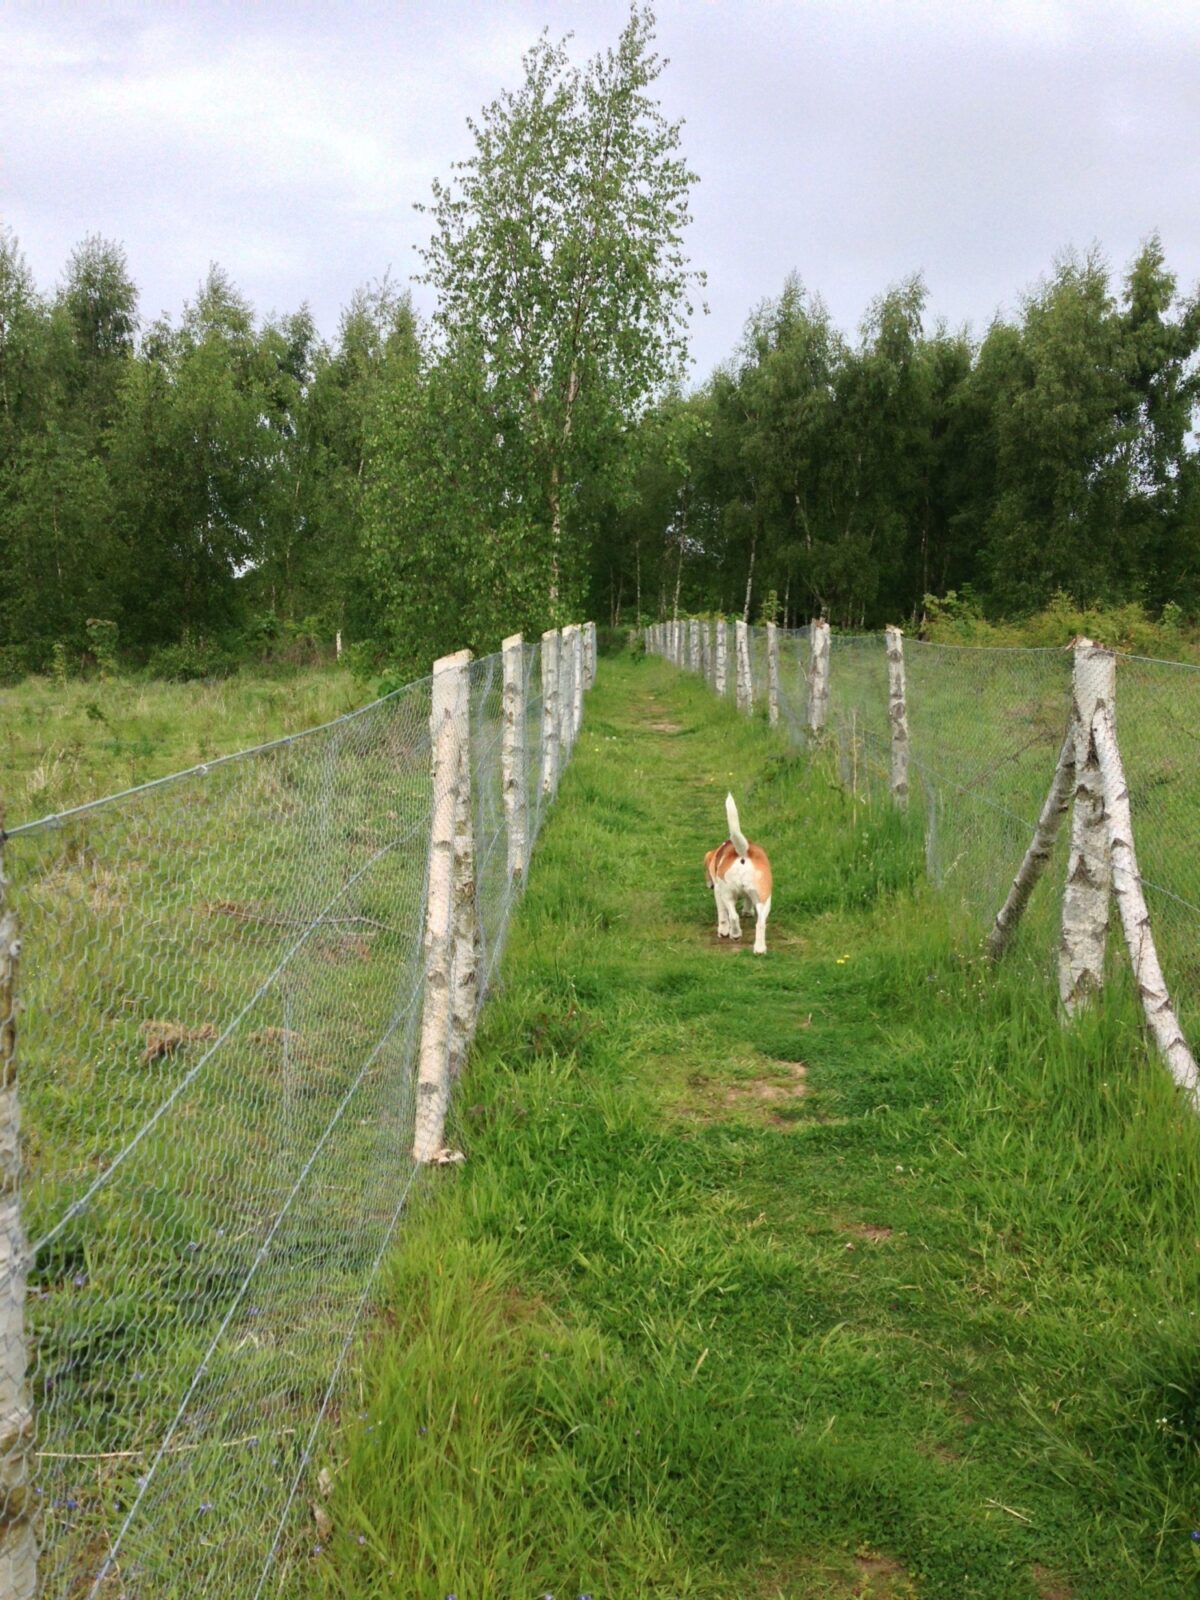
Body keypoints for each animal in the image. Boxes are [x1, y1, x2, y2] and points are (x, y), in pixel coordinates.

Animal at [704, 793, 780, 953]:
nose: (709, 885)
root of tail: (743, 852)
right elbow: (748, 901)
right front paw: (747, 911)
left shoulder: (718, 892)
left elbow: (722, 915)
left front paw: (723, 931)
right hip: (764, 898)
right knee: (760, 923)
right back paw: (759, 948)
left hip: (727, 894)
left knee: (733, 916)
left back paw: (735, 934)